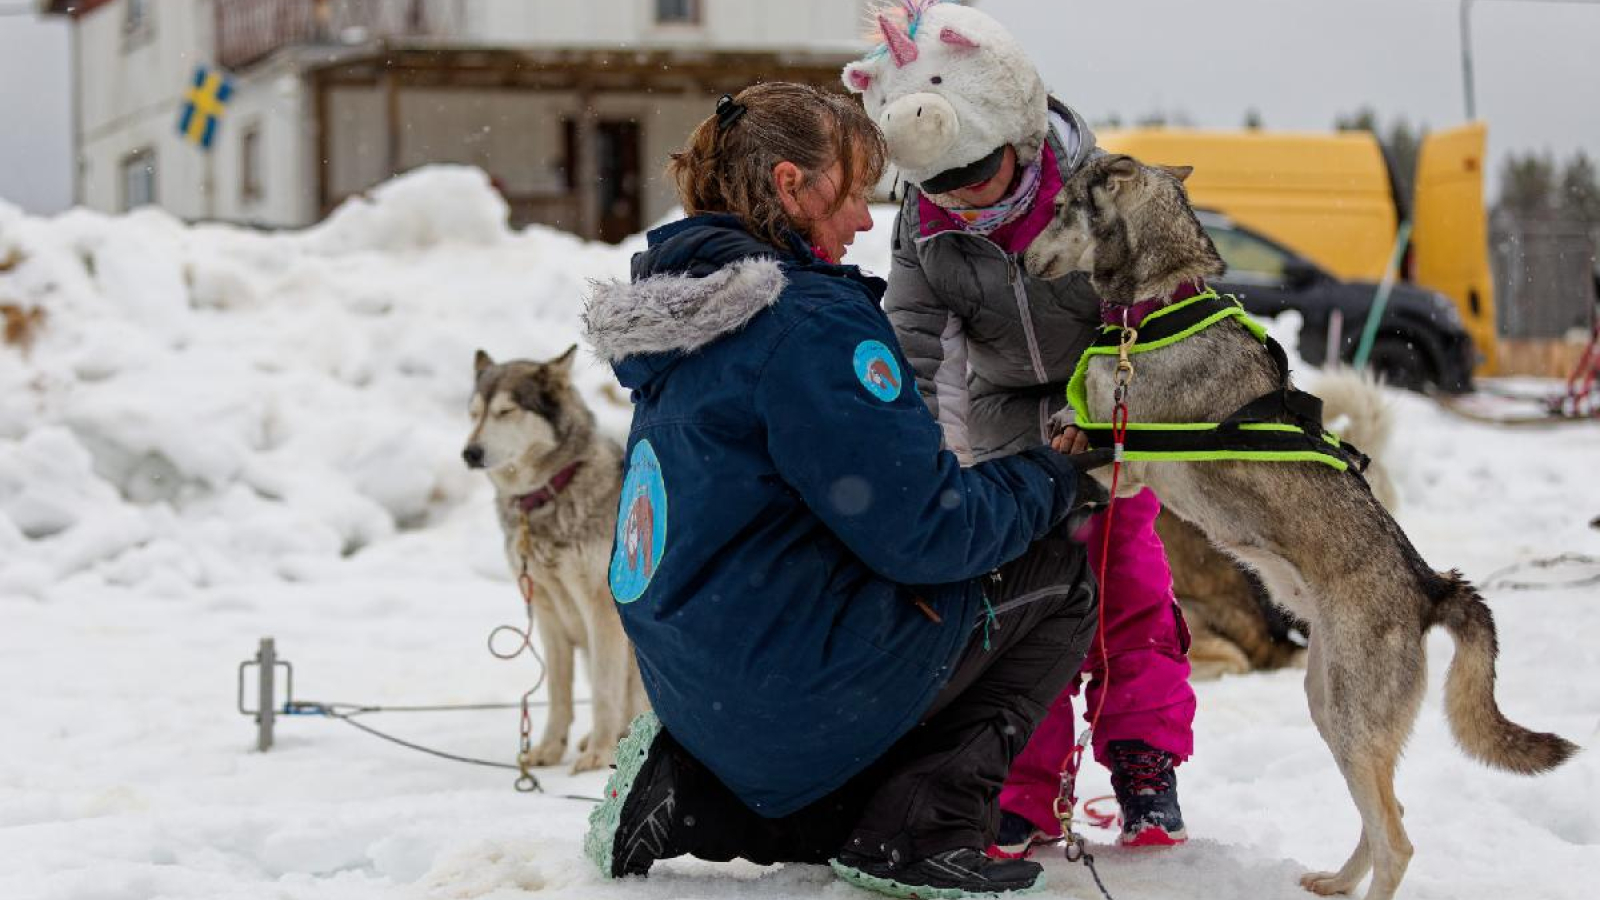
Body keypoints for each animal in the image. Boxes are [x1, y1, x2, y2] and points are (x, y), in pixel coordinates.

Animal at [1024, 153, 1574, 896]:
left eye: (1058, 209)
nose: (1022, 258)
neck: (1156, 307)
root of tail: (1429, 585)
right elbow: (1055, 426)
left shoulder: (1127, 457)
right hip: (1329, 707)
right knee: (1385, 815)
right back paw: (1336, 881)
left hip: (1348, 713)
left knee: (1398, 839)